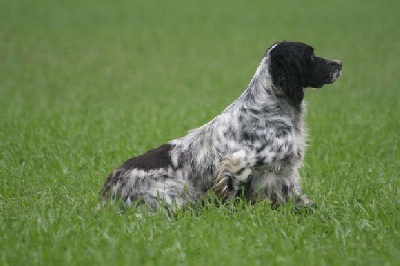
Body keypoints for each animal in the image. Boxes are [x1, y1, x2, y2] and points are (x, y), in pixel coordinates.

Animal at [100, 41, 340, 212]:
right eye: (311, 55)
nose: (340, 63)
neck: (270, 106)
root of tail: (108, 191)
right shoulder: (237, 162)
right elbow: (231, 195)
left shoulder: (283, 174)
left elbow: (298, 199)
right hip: (172, 192)